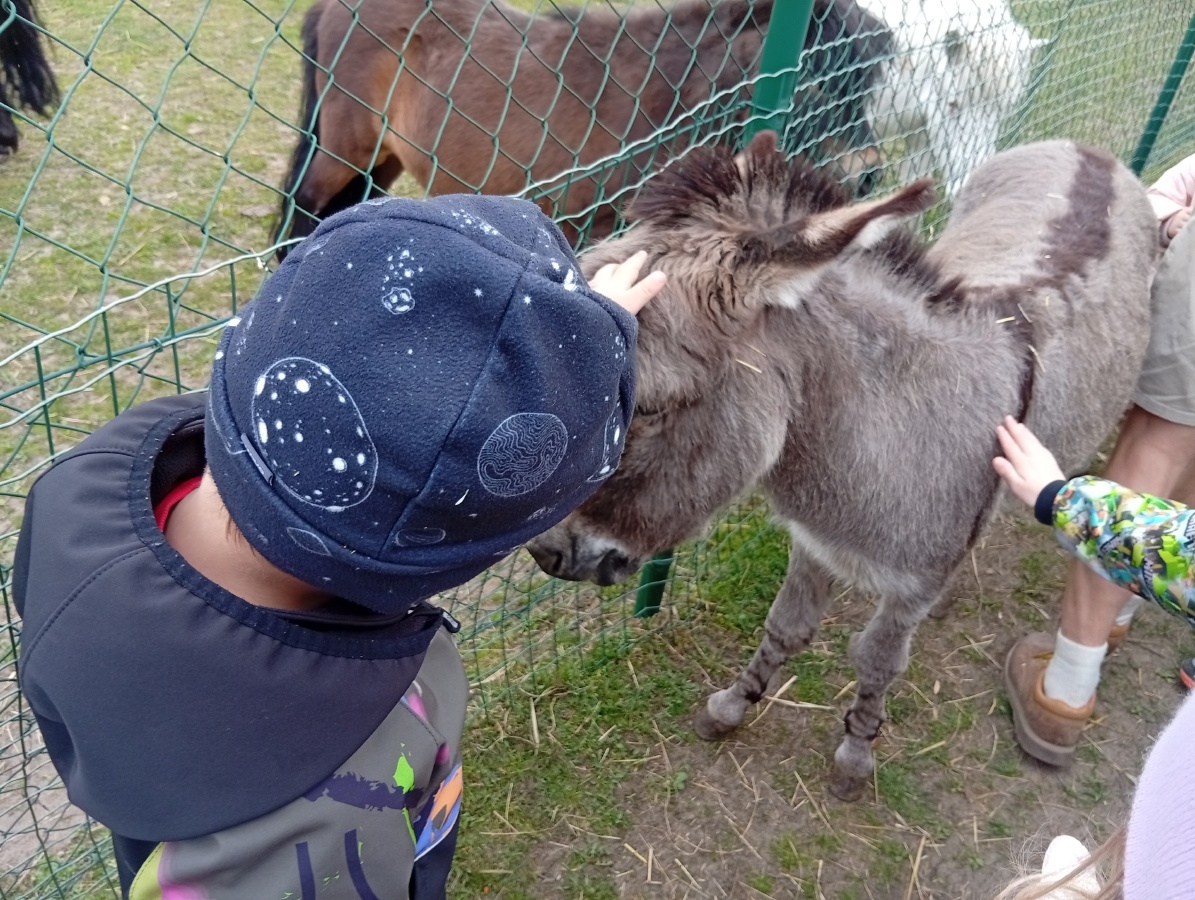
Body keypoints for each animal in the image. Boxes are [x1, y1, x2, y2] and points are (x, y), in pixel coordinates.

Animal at [272, 0, 893, 258]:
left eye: (864, 88)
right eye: (815, 83)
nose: (870, 174)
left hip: (384, 159)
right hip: (344, 152)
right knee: (305, 208)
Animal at [525, 131, 1157, 801]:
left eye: (641, 407)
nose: (545, 553)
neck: (886, 436)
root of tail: (1086, 149)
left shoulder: (910, 587)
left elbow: (878, 660)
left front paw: (856, 754)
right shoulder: (816, 543)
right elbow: (786, 627)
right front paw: (733, 705)